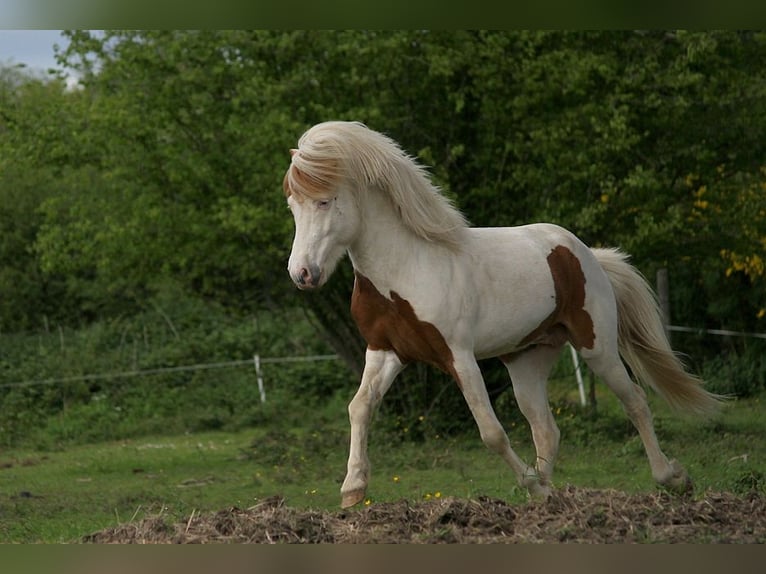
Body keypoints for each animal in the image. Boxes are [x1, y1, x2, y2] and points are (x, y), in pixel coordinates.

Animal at [284, 121, 728, 508]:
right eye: (292, 205)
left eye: (324, 201)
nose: (302, 274)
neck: (407, 268)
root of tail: (585, 253)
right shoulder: (386, 351)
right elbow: (359, 407)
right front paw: (352, 490)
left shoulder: (459, 356)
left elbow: (491, 432)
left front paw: (527, 482)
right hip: (526, 360)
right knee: (546, 428)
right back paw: (547, 495)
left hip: (596, 346)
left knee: (635, 402)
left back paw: (672, 478)